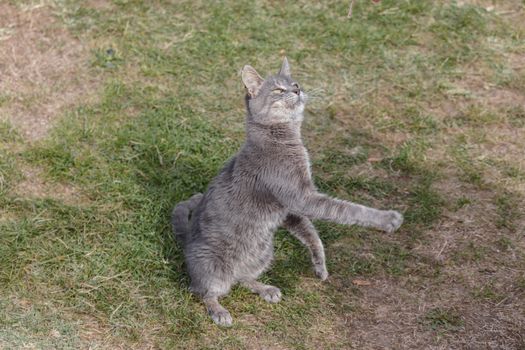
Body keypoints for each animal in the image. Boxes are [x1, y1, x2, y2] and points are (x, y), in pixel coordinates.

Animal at [171, 57, 402, 326]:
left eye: (295, 83)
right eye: (279, 90)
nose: (297, 90)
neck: (283, 139)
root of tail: (187, 240)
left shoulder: (290, 208)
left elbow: (312, 233)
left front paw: (320, 266)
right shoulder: (301, 196)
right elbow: (347, 210)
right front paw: (387, 219)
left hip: (263, 252)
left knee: (243, 277)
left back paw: (266, 289)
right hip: (213, 267)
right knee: (204, 291)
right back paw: (220, 312)